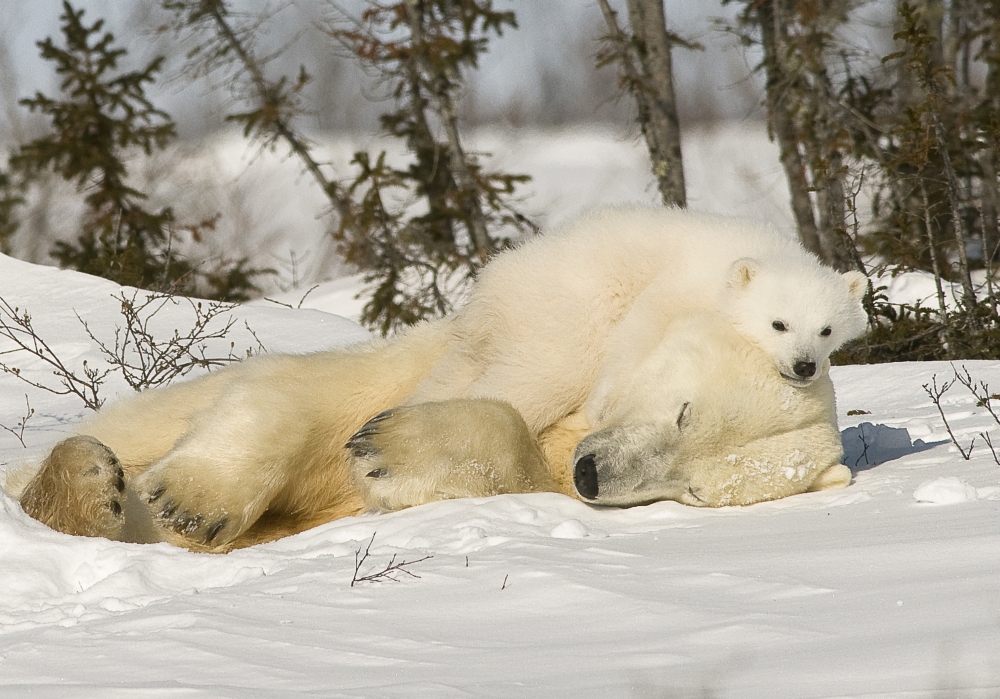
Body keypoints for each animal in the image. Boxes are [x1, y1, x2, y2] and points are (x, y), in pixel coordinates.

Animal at [9, 206, 868, 553]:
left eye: (691, 490)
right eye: (684, 411)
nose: (595, 473)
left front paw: (392, 453)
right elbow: (295, 395)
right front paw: (194, 498)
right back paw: (82, 479)